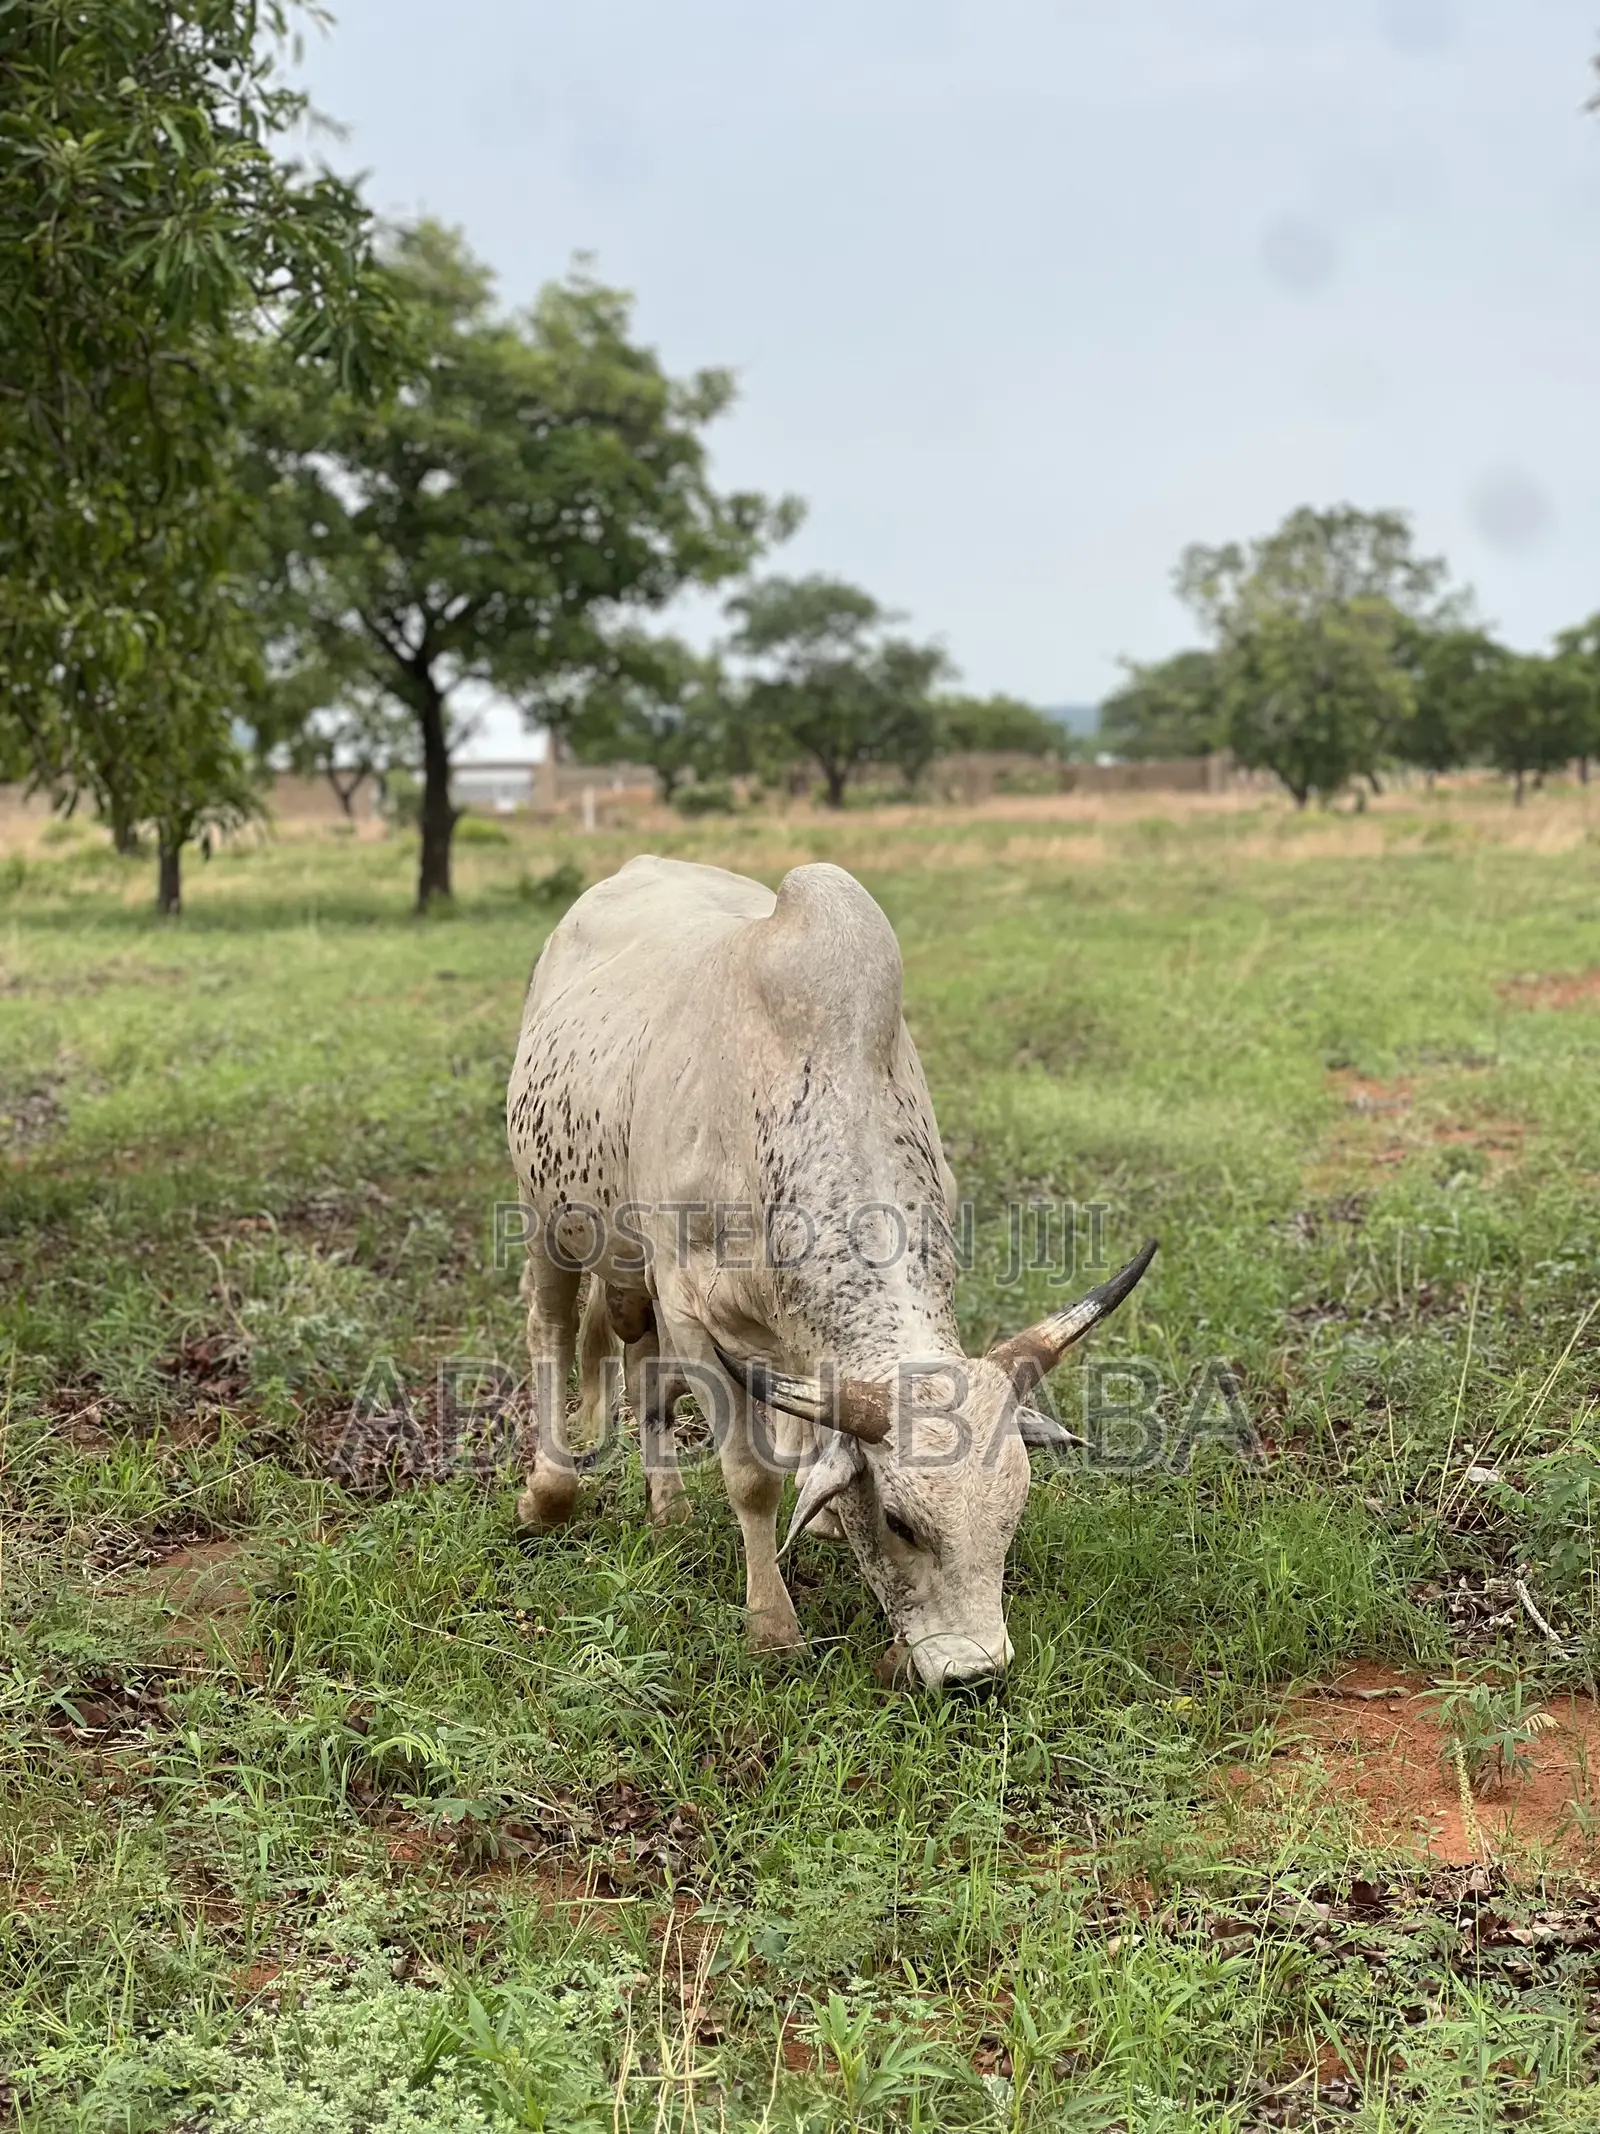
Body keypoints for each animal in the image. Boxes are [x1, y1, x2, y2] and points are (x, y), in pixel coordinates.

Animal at [505, 854, 1154, 1688]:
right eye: (901, 1522)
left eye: (1013, 1514)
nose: (976, 1674)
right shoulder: (689, 1308)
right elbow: (751, 1478)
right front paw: (772, 1628)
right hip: (546, 1217)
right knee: (553, 1331)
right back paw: (550, 1493)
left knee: (642, 1366)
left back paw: (669, 1510)